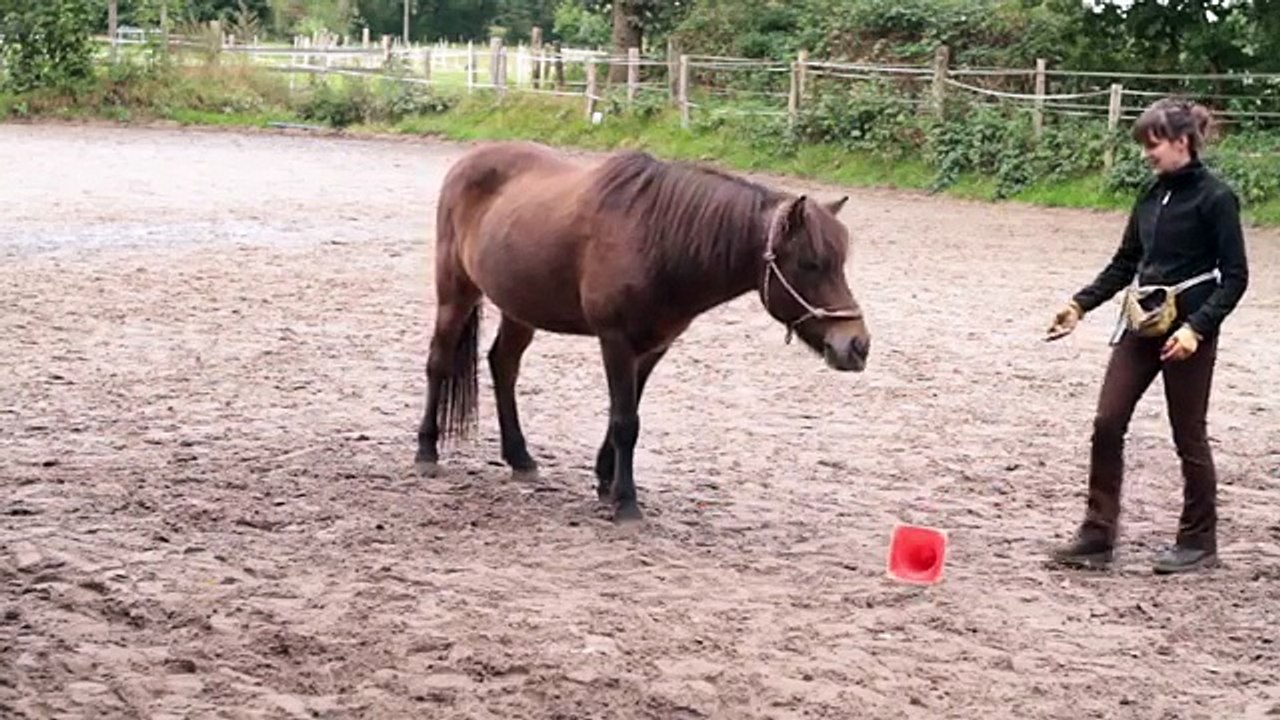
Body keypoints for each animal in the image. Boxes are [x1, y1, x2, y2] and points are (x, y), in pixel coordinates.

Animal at [414, 141, 871, 522]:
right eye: (810, 264)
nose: (857, 345)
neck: (657, 242)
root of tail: (469, 161)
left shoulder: (652, 348)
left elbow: (627, 412)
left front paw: (606, 481)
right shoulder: (615, 340)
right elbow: (624, 421)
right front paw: (627, 503)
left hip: (520, 307)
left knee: (503, 365)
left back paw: (520, 458)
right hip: (456, 292)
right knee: (439, 363)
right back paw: (427, 450)